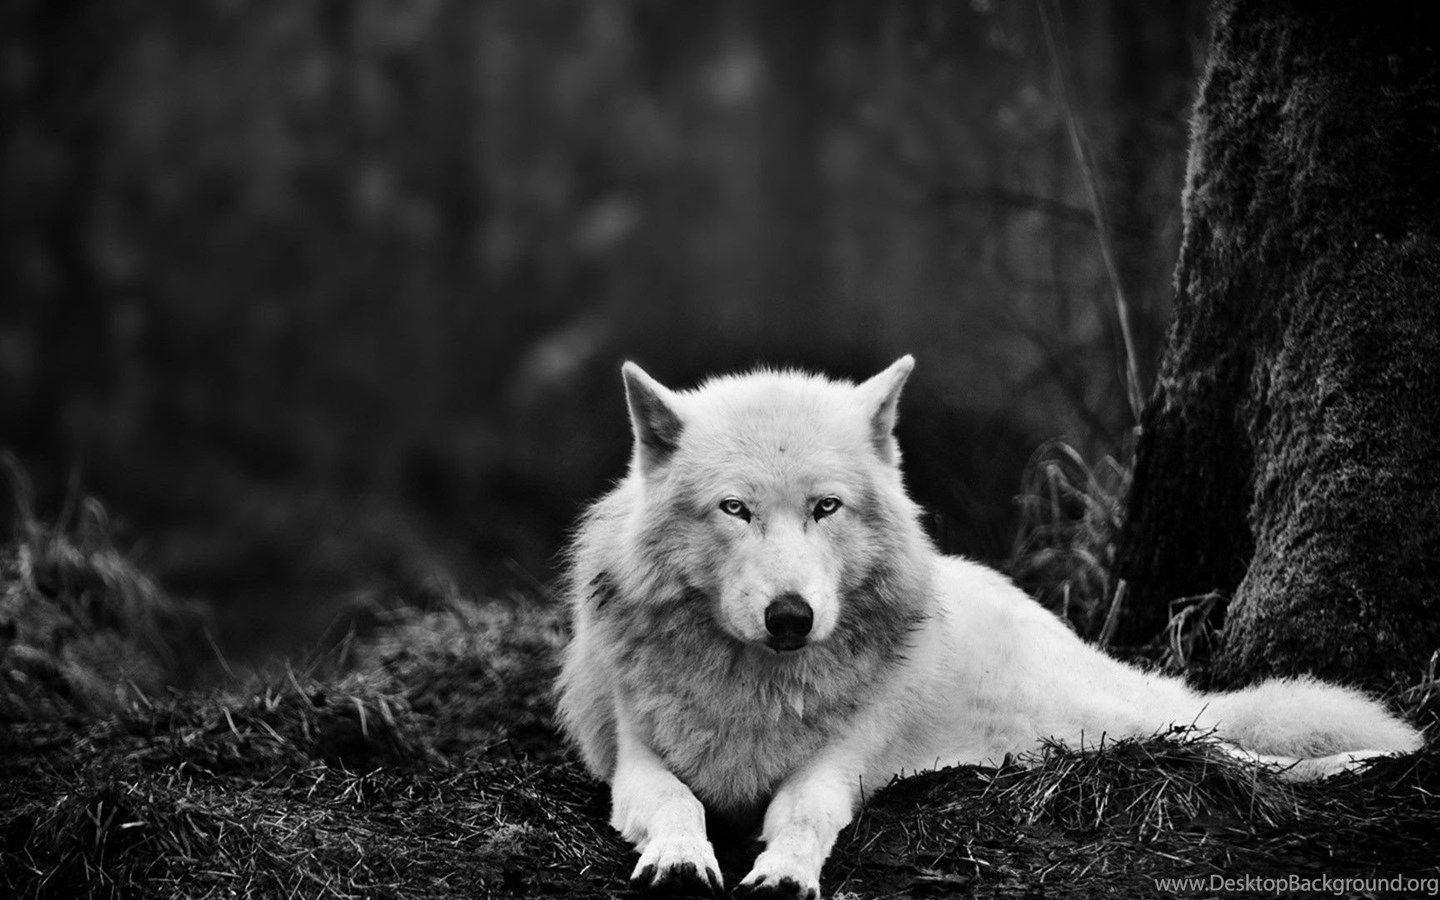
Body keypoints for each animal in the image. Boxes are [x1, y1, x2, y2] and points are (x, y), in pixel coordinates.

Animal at [556, 356, 1422, 899]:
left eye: (826, 507)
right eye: (734, 509)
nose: (791, 616)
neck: (757, 689)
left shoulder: (837, 766)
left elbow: (800, 815)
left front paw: (783, 874)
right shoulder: (634, 763)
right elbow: (678, 804)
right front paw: (679, 858)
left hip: (1107, 723)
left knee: (1227, 743)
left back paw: (1371, 759)